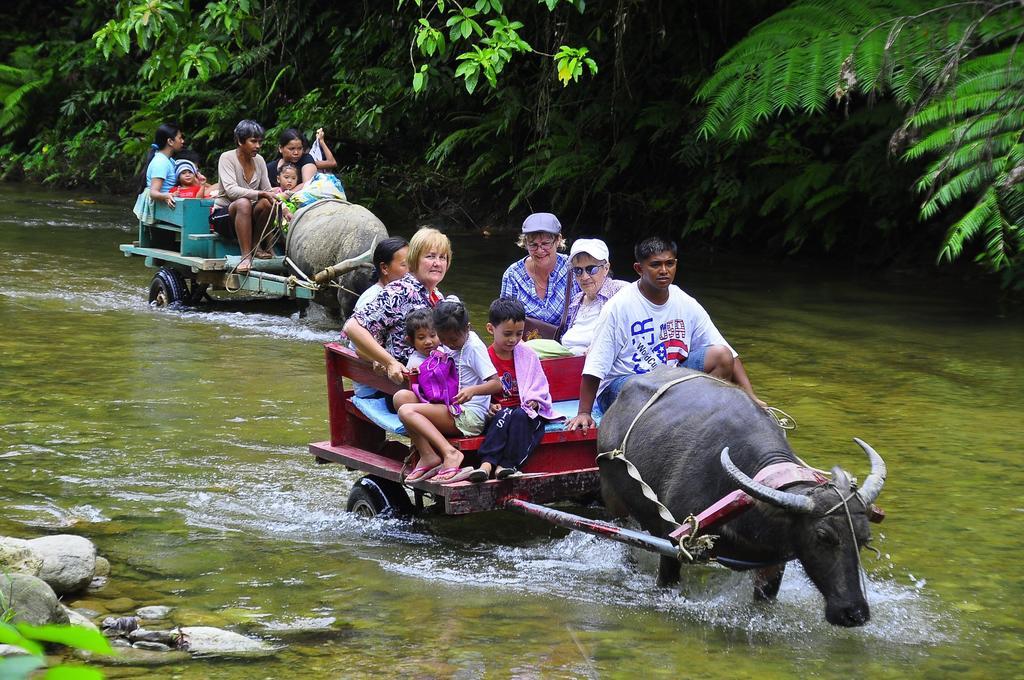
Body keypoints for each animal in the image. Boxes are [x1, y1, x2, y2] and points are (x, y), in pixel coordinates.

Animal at [598, 366, 884, 626]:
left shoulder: (773, 562)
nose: (854, 613)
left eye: (864, 538)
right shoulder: (672, 543)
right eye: (823, 536)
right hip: (614, 501)